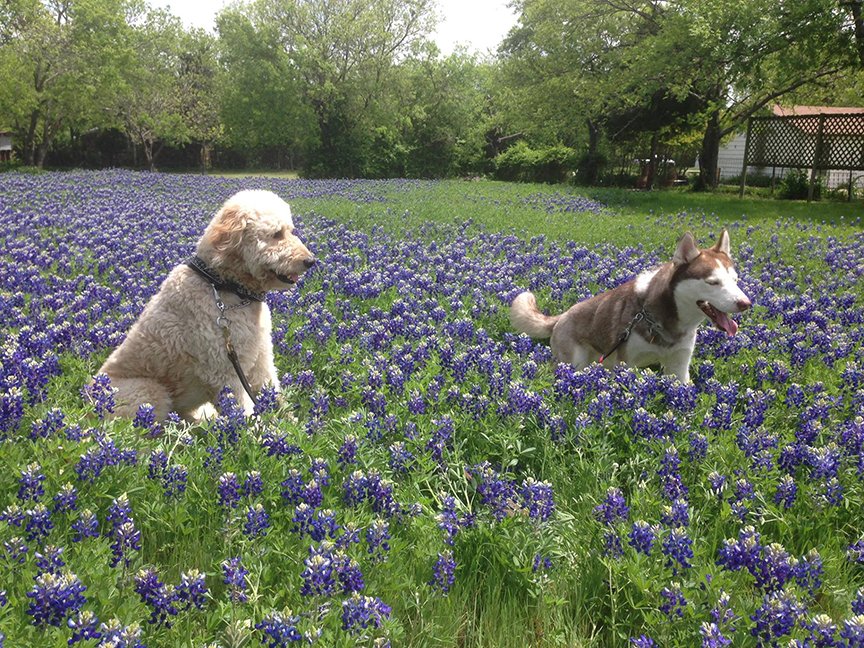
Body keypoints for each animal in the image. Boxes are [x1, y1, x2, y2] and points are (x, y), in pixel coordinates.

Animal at [97, 190, 318, 420]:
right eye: (276, 234)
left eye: (291, 231)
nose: (311, 261)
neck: (224, 286)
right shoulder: (226, 370)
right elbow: (245, 413)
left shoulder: (262, 359)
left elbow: (277, 397)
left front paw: (294, 427)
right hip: (147, 391)